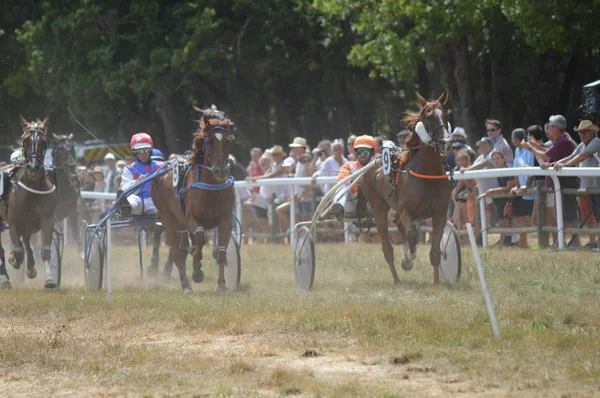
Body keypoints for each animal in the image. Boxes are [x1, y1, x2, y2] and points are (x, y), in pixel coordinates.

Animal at [7, 116, 59, 288]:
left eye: (44, 142)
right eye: (25, 141)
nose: (33, 166)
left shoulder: (47, 219)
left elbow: (46, 250)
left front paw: (49, 279)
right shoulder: (13, 221)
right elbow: (17, 252)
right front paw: (13, 259)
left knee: (27, 241)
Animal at [151, 105, 236, 292]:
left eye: (228, 141)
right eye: (210, 140)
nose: (221, 171)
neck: (211, 188)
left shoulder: (225, 219)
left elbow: (220, 251)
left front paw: (221, 285)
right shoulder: (190, 218)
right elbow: (200, 237)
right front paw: (197, 271)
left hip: (180, 222)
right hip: (168, 217)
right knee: (177, 251)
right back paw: (185, 284)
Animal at [358, 91, 452, 282]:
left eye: (446, 115)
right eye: (429, 116)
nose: (445, 142)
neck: (428, 174)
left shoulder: (440, 213)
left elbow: (435, 250)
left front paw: (437, 282)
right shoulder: (405, 210)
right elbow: (412, 236)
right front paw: (408, 260)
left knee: (399, 228)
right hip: (378, 208)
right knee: (387, 247)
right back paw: (397, 280)